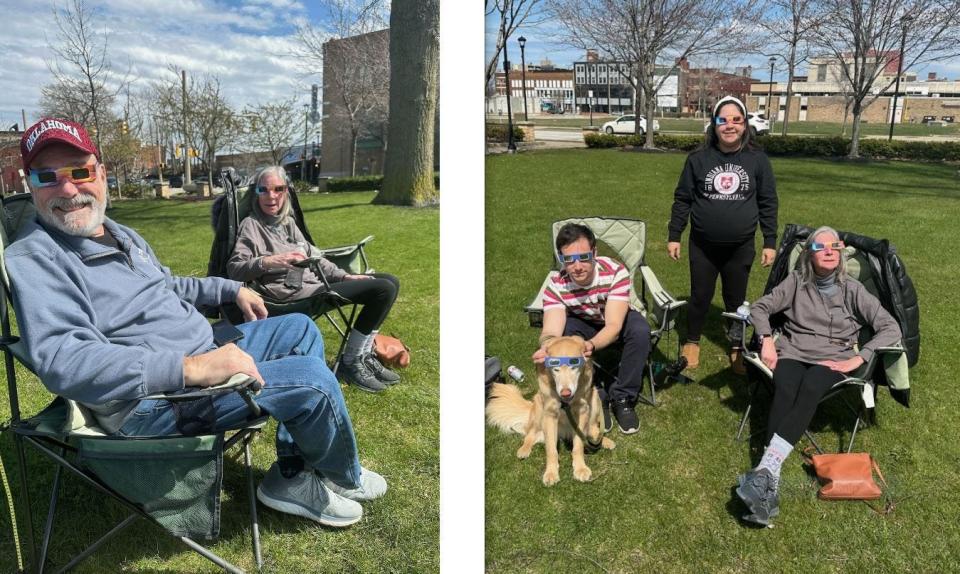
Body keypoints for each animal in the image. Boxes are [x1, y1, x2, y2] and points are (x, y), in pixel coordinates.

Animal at [488, 336, 616, 488]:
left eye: (574, 367)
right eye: (556, 369)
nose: (566, 393)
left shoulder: (582, 411)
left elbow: (578, 445)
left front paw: (580, 468)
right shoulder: (549, 415)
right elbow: (551, 450)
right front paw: (551, 473)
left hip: (595, 396)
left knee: (592, 430)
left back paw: (602, 439)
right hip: (538, 406)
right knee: (530, 435)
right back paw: (524, 449)